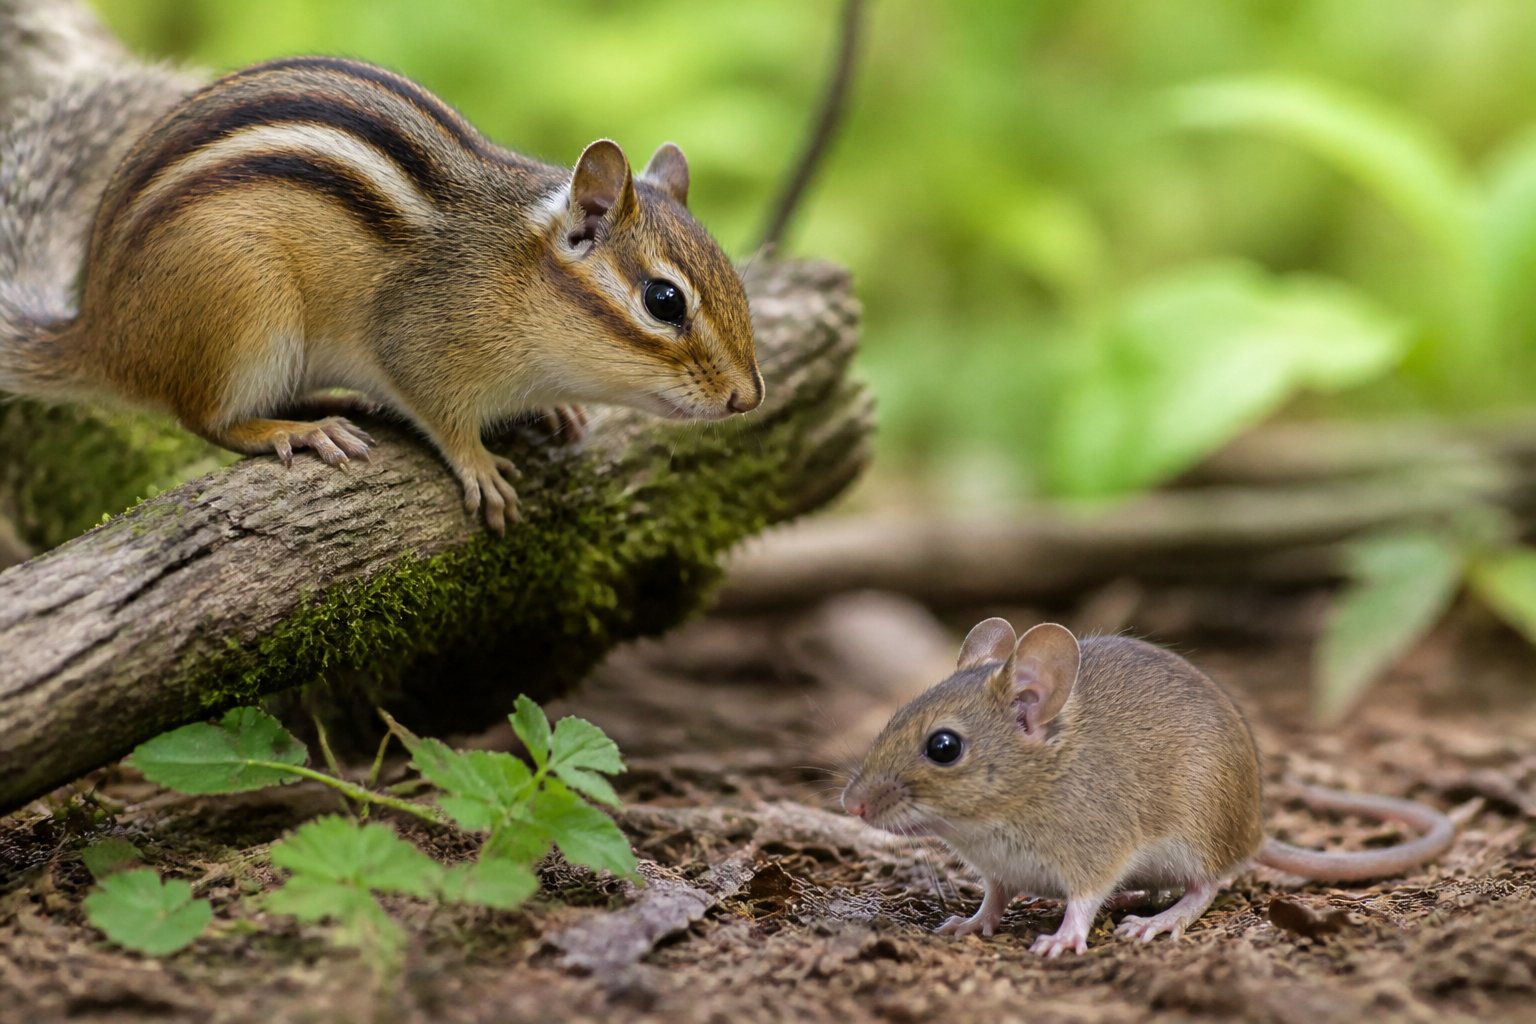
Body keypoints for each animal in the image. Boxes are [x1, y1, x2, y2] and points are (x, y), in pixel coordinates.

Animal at [0, 55, 764, 532]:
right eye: (664, 301)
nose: (748, 397)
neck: (513, 270)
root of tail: (101, 330)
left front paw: (560, 409)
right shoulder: (416, 339)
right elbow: (440, 413)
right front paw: (478, 465)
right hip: (244, 310)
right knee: (206, 418)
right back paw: (297, 431)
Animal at [842, 619, 1456, 956]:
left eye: (943, 747)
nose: (852, 804)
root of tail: (1255, 832)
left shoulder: (1095, 852)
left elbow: (1082, 903)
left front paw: (1061, 939)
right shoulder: (999, 871)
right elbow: (992, 899)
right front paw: (967, 924)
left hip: (1194, 835)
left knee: (1207, 886)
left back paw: (1159, 921)